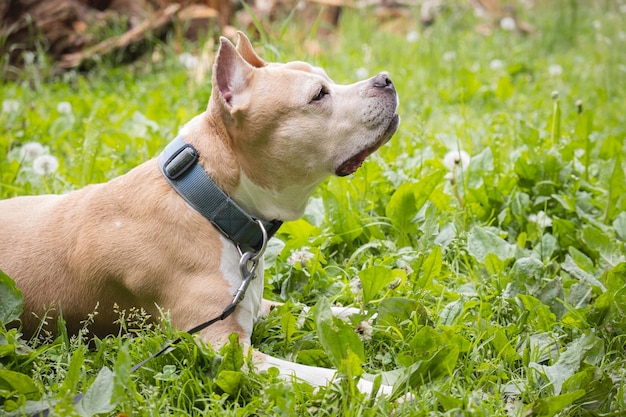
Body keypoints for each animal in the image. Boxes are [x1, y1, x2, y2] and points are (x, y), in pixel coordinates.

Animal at [0, 32, 400, 394]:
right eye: (318, 95)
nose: (385, 78)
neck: (210, 201)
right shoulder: (227, 348)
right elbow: (323, 375)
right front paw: (382, 390)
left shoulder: (250, 304)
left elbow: (301, 307)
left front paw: (359, 316)